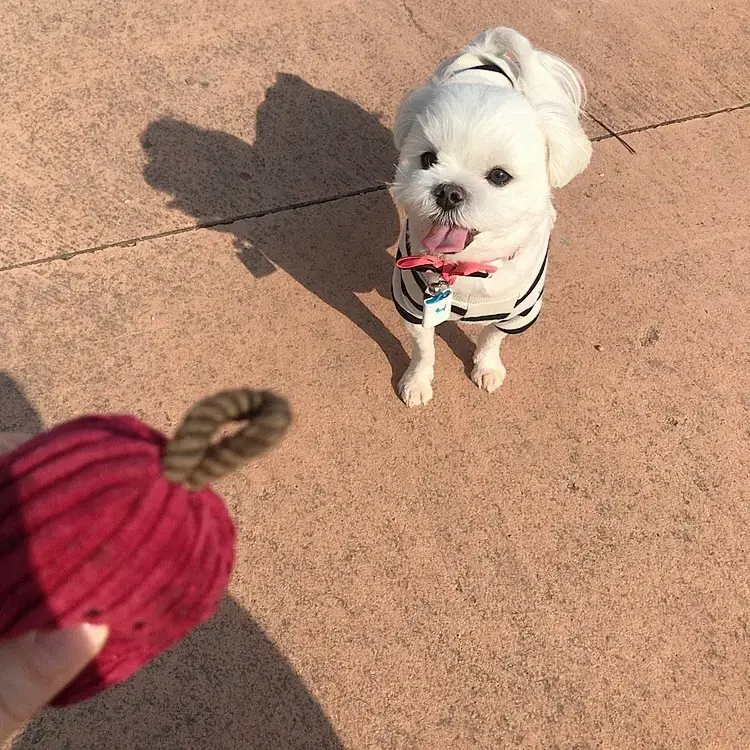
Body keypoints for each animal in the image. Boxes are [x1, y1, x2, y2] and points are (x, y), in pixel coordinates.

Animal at [388, 27, 592, 406]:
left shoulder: (519, 312)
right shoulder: (413, 303)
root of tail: (486, 53)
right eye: (427, 159)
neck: (466, 268)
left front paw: (486, 367)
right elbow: (424, 350)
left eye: (499, 176)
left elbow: (491, 338)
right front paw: (417, 382)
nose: (448, 191)